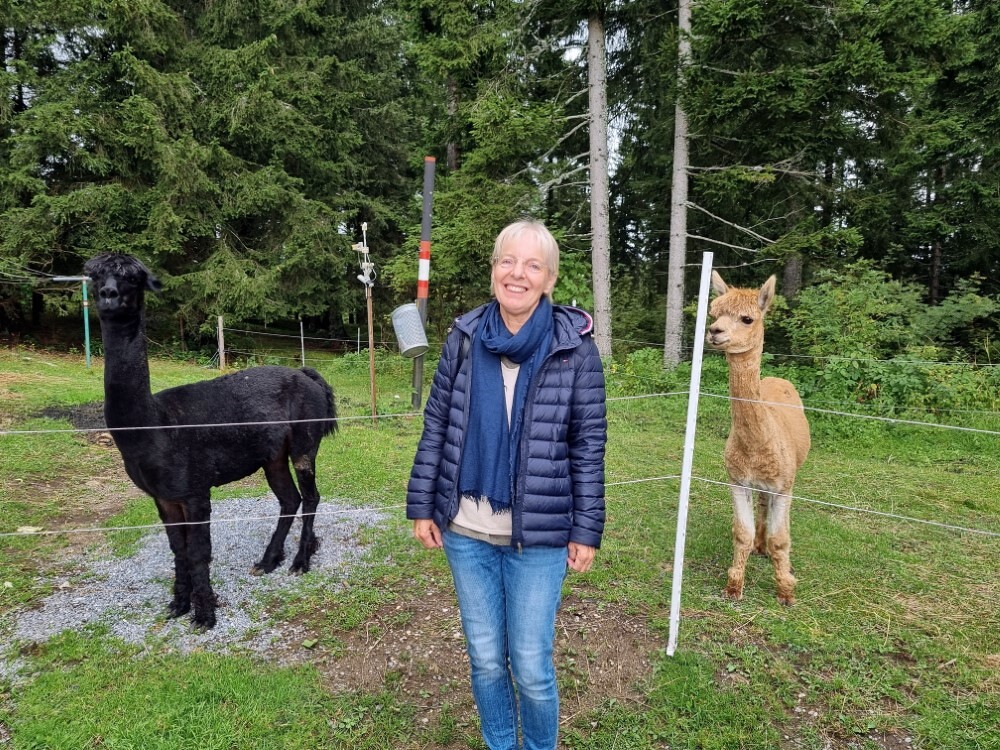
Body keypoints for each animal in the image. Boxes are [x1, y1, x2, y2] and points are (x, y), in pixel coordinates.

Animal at [706, 271, 810, 605]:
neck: (756, 446)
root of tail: (776, 379)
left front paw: (786, 592)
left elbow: (781, 539)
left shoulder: (785, 485)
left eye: (747, 318)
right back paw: (758, 545)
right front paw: (734, 587)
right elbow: (742, 532)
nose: (714, 331)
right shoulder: (738, 479)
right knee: (762, 504)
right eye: (714, 314)